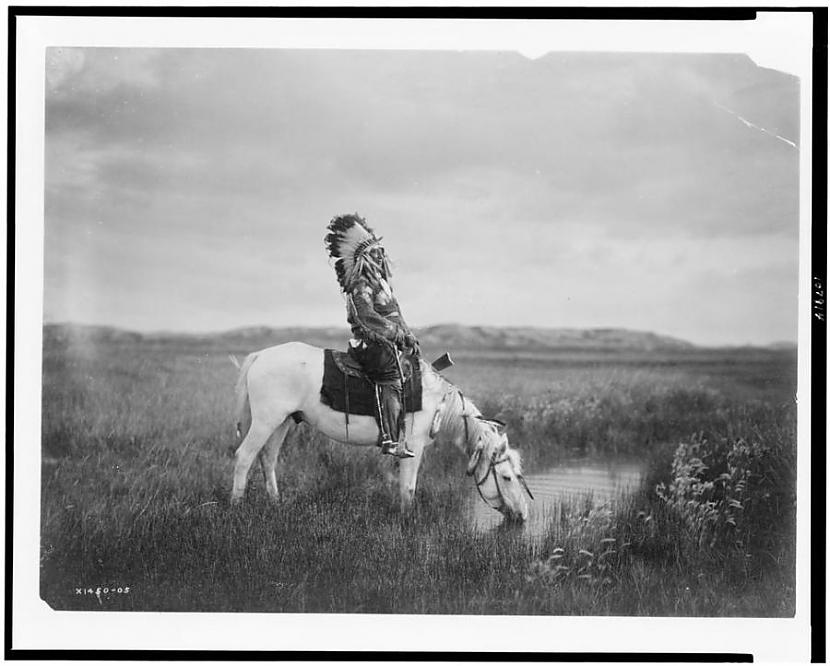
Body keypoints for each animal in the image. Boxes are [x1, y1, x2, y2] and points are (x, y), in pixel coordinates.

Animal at [234, 342, 532, 520]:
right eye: (506, 477)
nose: (523, 515)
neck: (437, 401)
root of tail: (260, 356)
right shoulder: (413, 447)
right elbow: (408, 488)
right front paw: (407, 521)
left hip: (282, 421)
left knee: (268, 459)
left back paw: (275, 503)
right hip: (265, 421)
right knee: (244, 457)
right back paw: (235, 506)